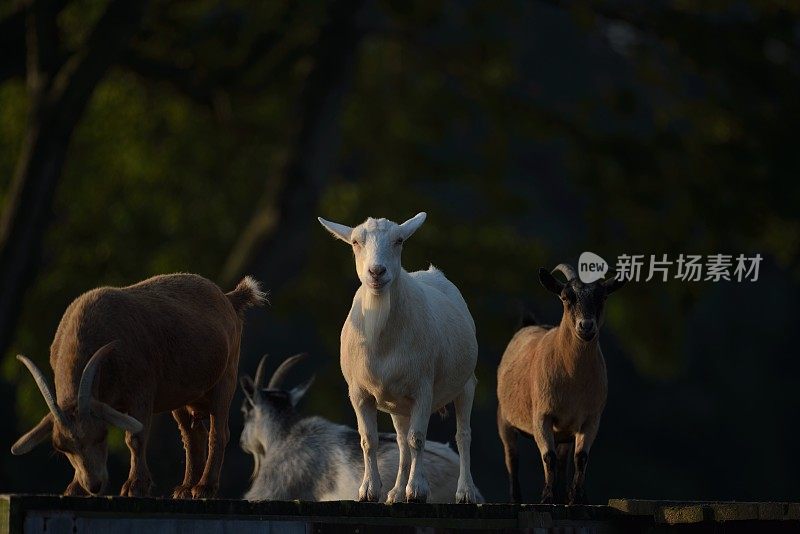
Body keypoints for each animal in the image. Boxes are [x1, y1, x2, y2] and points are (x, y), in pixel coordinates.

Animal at [10, 274, 266, 500]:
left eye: (101, 435)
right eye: (62, 448)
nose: (94, 485)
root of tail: (229, 298)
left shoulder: (141, 389)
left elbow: (135, 437)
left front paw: (135, 486)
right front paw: (74, 489)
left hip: (226, 377)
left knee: (218, 432)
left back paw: (204, 487)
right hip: (182, 395)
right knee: (193, 435)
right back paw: (185, 489)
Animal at [318, 211, 482, 504]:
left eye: (399, 241)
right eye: (355, 242)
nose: (376, 271)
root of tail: (431, 272)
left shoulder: (423, 387)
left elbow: (419, 438)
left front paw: (417, 490)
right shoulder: (358, 392)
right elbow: (368, 439)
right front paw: (369, 490)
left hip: (466, 383)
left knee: (462, 435)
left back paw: (465, 492)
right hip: (398, 403)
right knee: (402, 442)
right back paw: (395, 492)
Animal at [496, 264, 620, 506]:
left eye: (602, 297)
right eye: (565, 297)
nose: (586, 326)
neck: (573, 379)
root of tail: (529, 325)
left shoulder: (591, 419)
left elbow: (581, 457)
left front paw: (578, 498)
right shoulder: (542, 415)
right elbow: (548, 456)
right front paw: (546, 497)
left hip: (565, 430)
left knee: (563, 460)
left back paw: (564, 495)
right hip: (505, 419)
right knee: (511, 457)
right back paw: (517, 499)